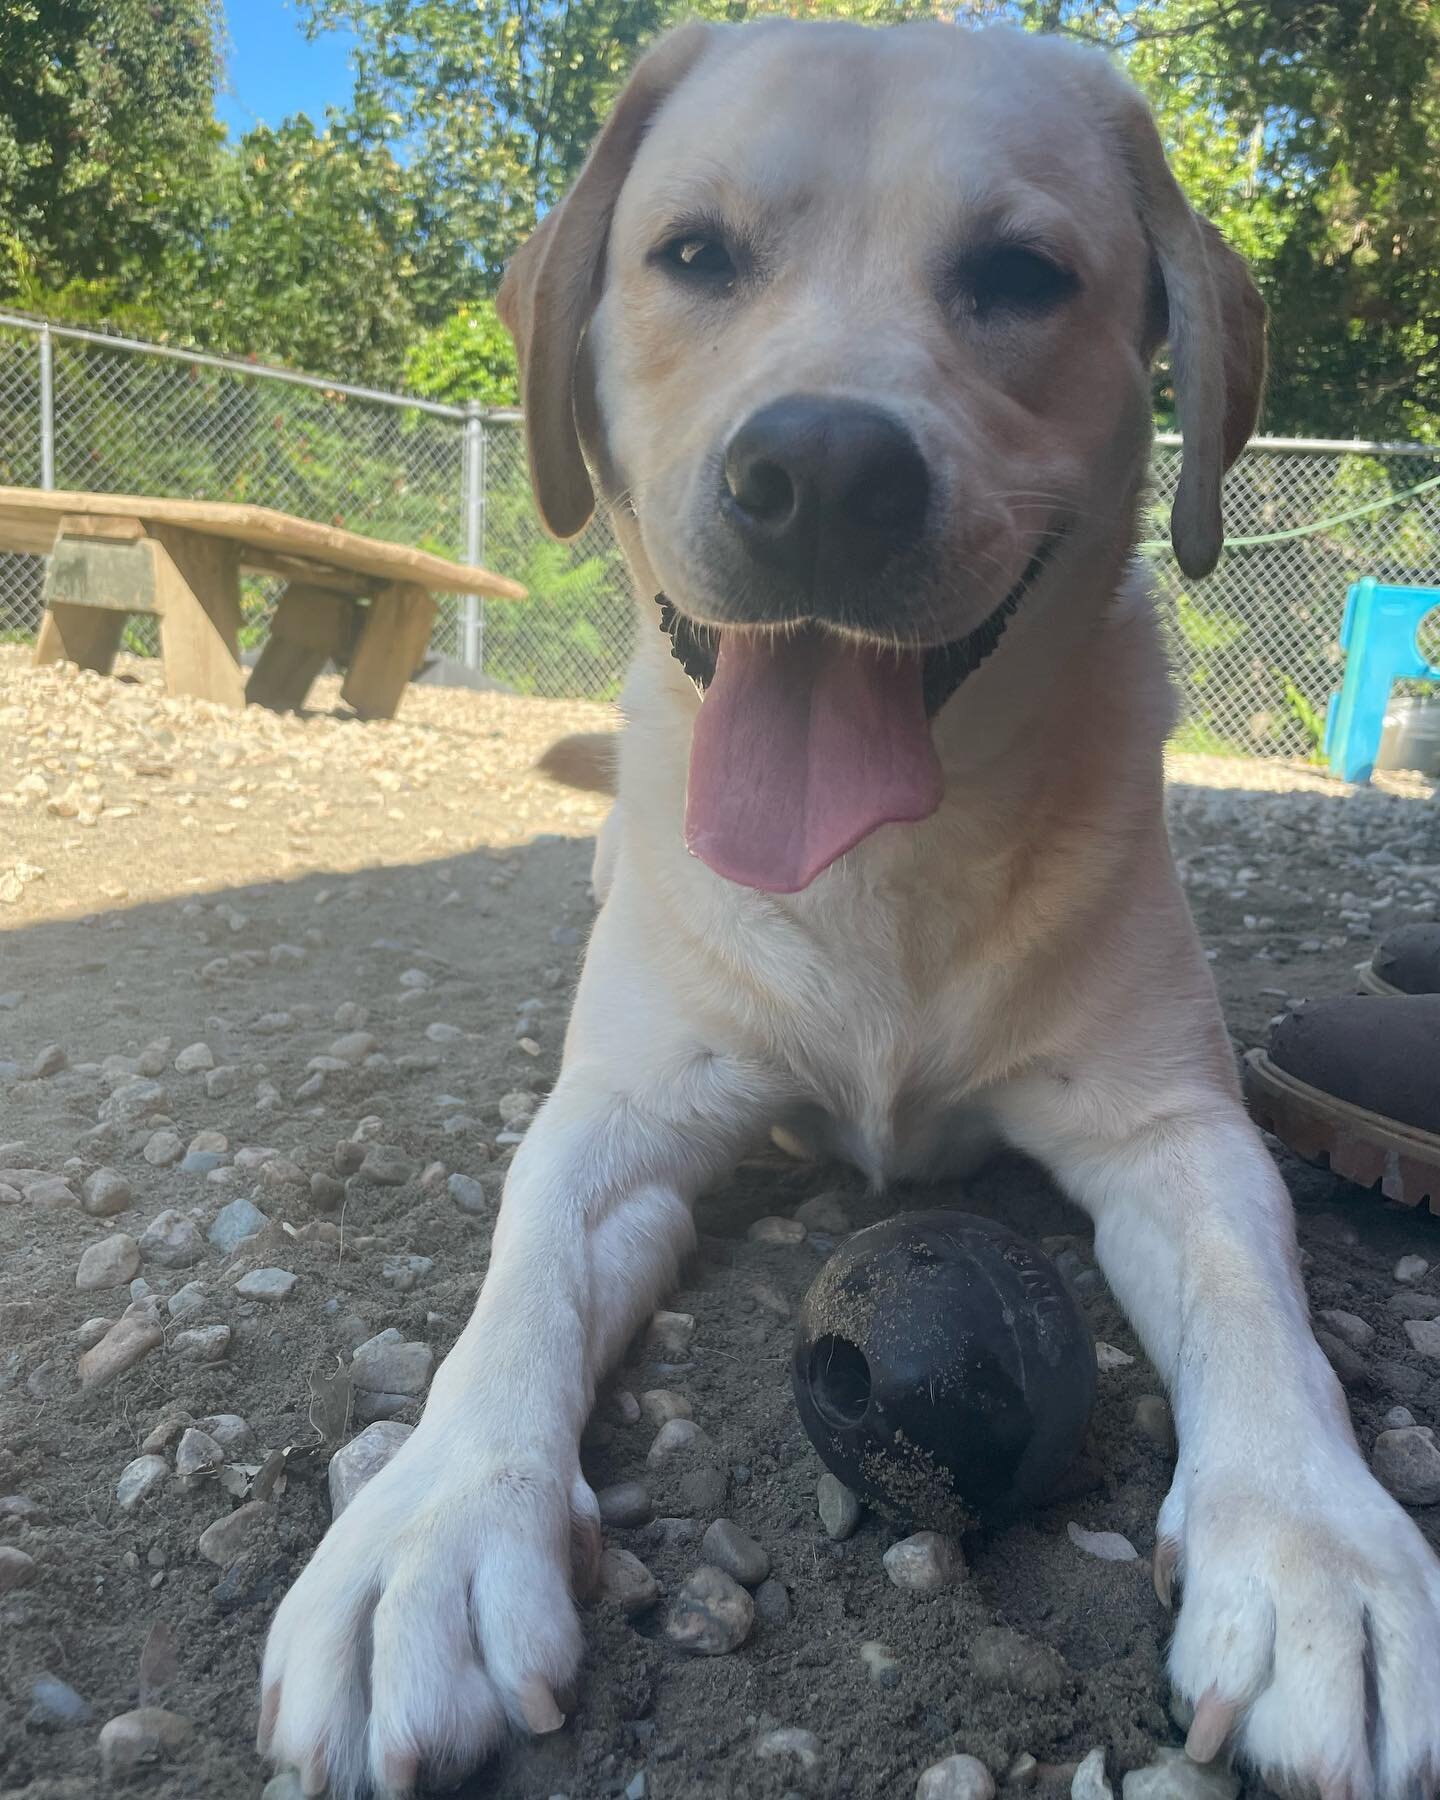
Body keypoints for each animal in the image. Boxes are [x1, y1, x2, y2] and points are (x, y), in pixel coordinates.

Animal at [259, 17, 1440, 1800]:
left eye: (1021, 275)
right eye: (693, 255)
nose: (819, 472)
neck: (879, 863)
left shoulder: (1177, 1133)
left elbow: (1260, 1300)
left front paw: (1316, 1553)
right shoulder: (619, 1118)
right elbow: (519, 1281)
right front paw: (431, 1528)